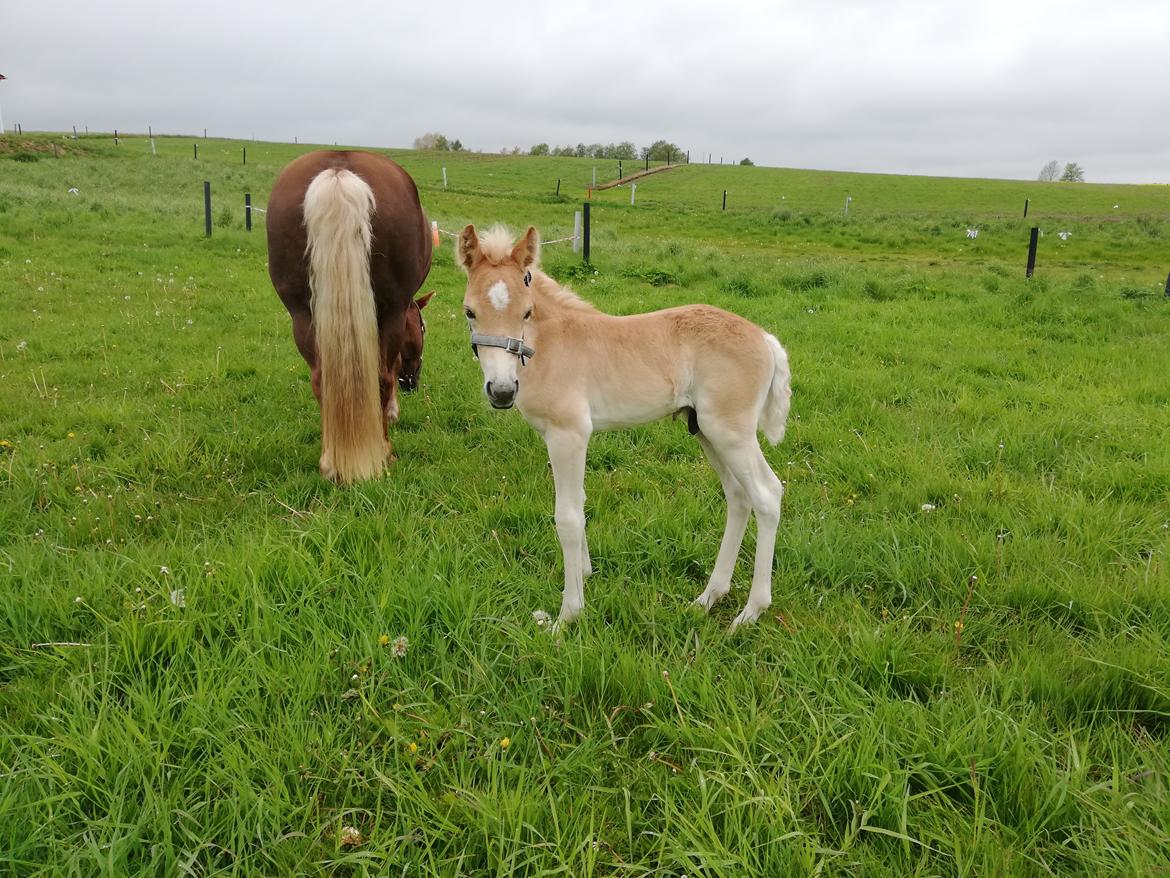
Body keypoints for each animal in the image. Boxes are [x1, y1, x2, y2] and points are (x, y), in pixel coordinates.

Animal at [266, 149, 435, 482]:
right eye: (422, 329)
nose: (413, 384)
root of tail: (338, 169)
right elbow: (390, 371)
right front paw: (392, 413)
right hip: (390, 310)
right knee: (382, 377)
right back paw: (383, 453)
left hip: (302, 315)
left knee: (321, 379)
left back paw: (330, 461)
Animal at [456, 223, 795, 627]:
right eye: (470, 312)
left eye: (526, 312)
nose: (503, 391)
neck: (550, 345)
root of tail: (765, 338)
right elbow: (580, 503)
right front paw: (585, 575)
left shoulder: (568, 434)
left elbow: (567, 518)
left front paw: (567, 615)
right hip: (706, 432)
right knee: (739, 496)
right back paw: (708, 598)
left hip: (731, 433)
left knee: (767, 494)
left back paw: (750, 612)